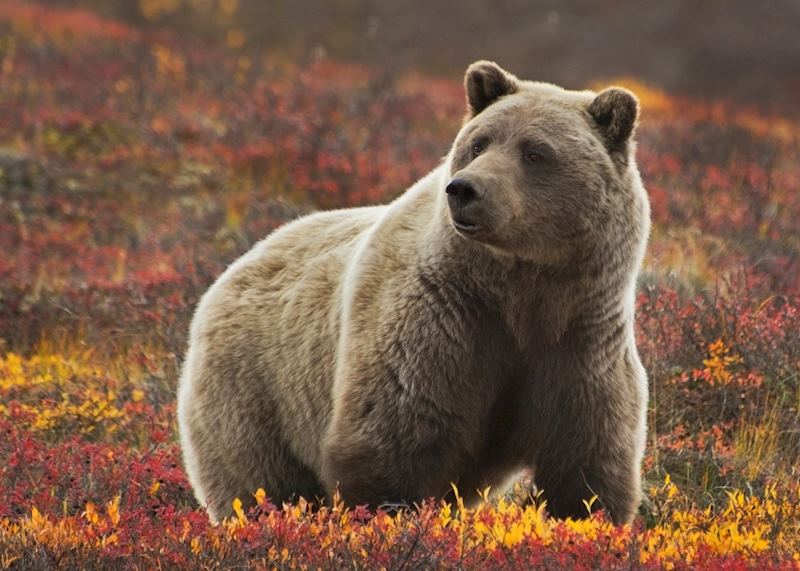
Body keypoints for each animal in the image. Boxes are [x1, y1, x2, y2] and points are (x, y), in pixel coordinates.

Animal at [177, 60, 651, 525]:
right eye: (479, 143)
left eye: (535, 152)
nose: (464, 188)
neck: (520, 289)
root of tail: (238, 264)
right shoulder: (441, 319)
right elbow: (392, 439)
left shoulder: (578, 339)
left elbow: (585, 460)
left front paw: (584, 515)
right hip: (256, 387)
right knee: (261, 481)